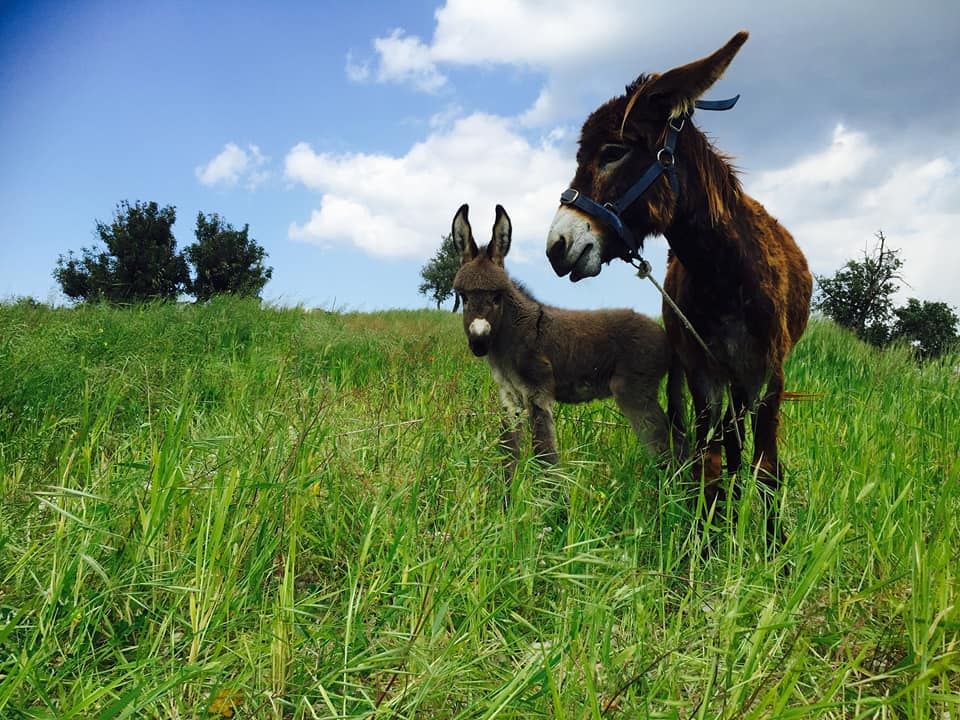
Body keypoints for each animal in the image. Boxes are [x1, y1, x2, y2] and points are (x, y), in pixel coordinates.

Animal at [452, 205, 672, 470]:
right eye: (463, 296)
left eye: (497, 297)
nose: (479, 343)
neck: (511, 333)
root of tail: (665, 336)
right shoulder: (510, 398)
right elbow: (508, 456)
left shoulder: (538, 393)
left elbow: (545, 457)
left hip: (634, 394)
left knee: (666, 443)